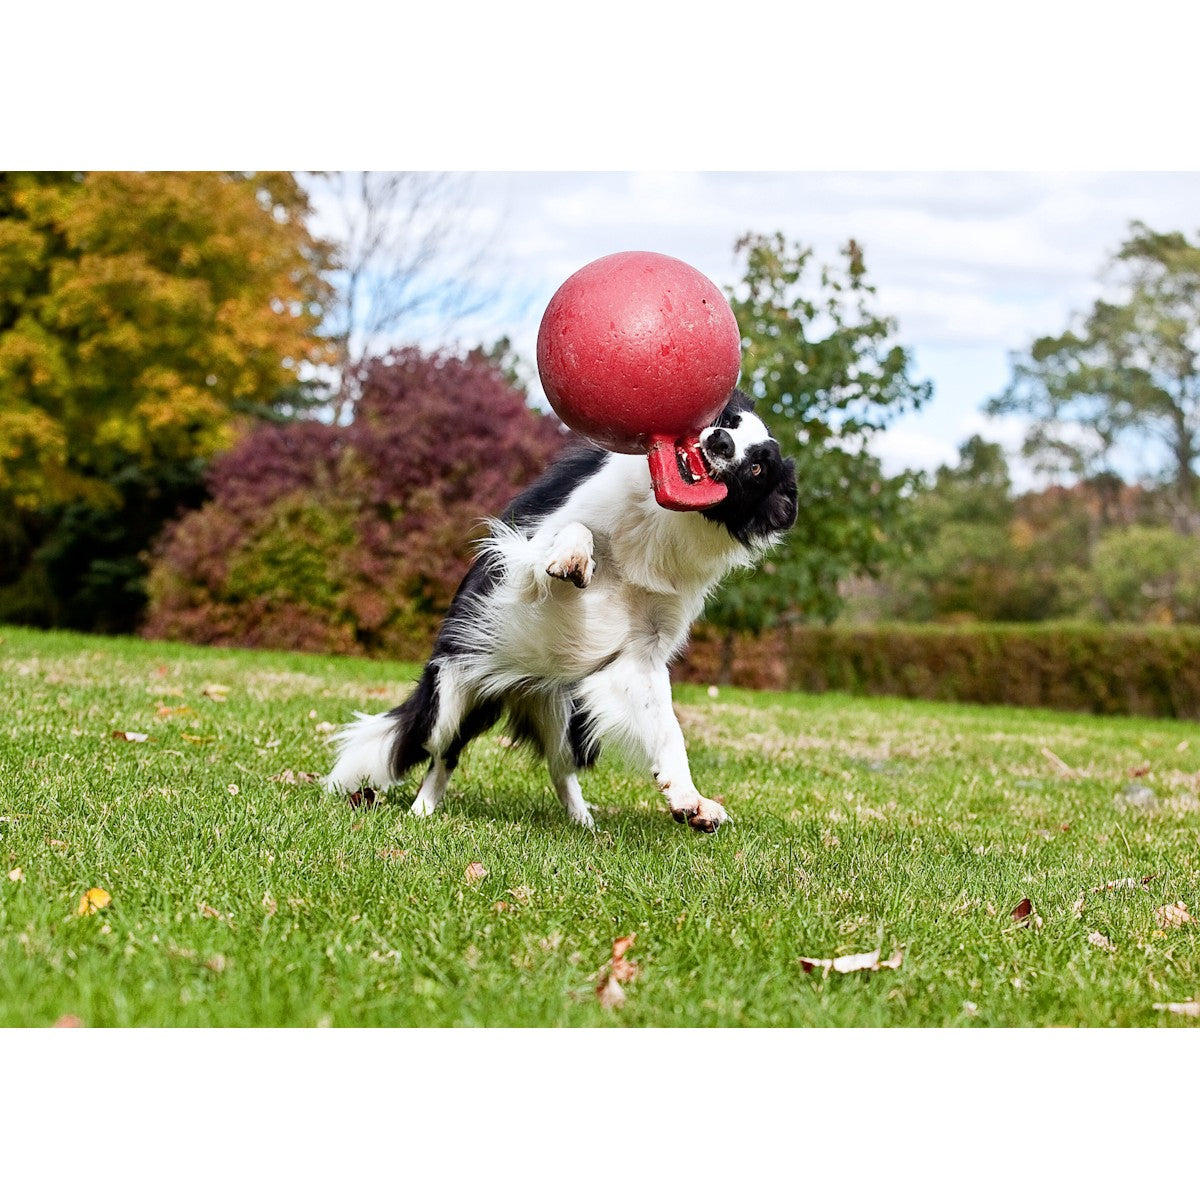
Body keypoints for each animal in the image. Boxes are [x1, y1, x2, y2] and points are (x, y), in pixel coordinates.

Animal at [328, 388, 796, 830]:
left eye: (758, 468)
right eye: (727, 421)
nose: (719, 442)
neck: (660, 521)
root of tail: (518, 686)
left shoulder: (643, 651)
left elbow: (667, 728)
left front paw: (689, 799)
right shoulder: (523, 555)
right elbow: (576, 530)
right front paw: (573, 556)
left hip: (568, 715)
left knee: (559, 767)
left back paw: (584, 822)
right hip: (452, 692)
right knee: (442, 753)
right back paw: (422, 810)